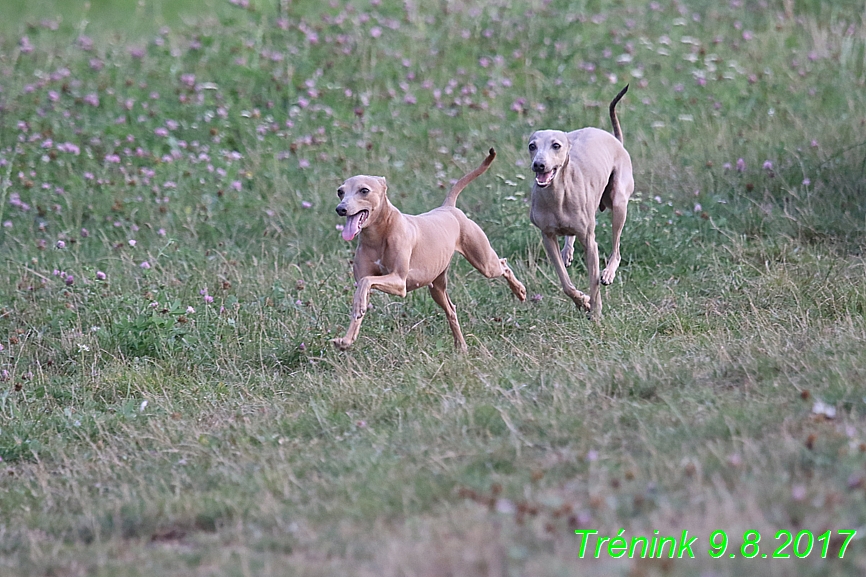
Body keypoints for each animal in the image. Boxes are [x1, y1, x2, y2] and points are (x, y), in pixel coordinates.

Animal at [332, 147, 528, 352]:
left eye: (364, 190)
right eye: (340, 191)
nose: (340, 209)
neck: (379, 235)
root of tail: (448, 208)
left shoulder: (399, 282)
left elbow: (365, 283)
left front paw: (357, 308)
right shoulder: (374, 280)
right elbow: (361, 297)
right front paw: (346, 340)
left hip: (485, 263)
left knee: (503, 265)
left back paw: (520, 291)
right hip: (437, 287)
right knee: (451, 310)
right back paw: (461, 346)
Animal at [524, 86, 632, 320]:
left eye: (556, 145)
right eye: (532, 146)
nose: (539, 165)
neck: (556, 197)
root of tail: (615, 140)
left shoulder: (590, 242)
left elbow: (594, 281)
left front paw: (596, 312)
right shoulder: (547, 237)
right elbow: (565, 283)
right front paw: (582, 301)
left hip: (618, 202)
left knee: (617, 248)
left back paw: (608, 272)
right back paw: (568, 251)